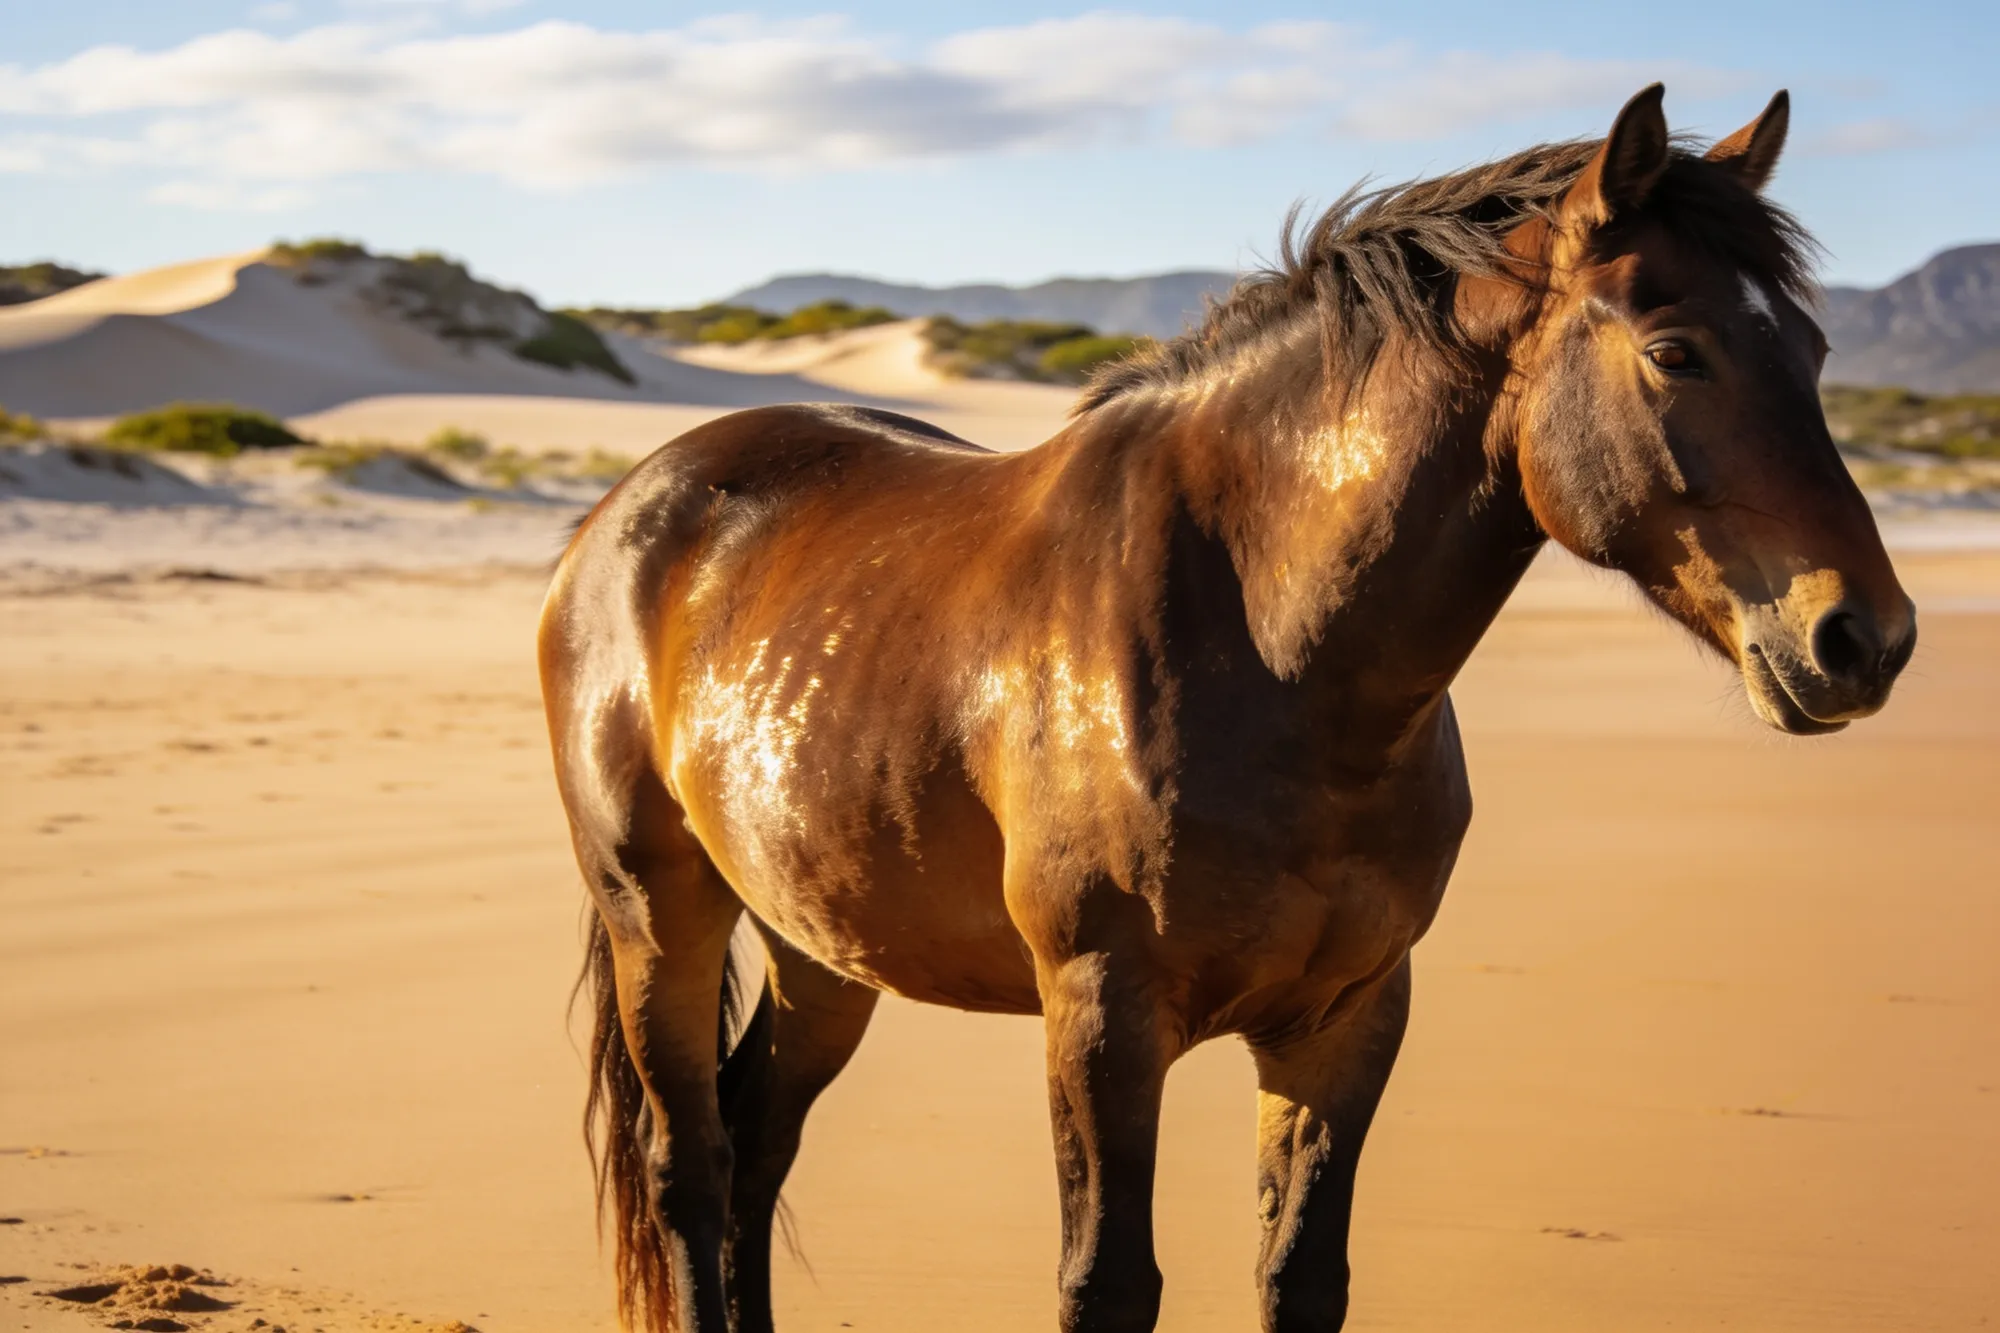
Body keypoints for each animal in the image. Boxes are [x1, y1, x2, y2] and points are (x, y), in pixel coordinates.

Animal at [539, 84, 1914, 1333]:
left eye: (1812, 353)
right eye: (1675, 351)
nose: (1864, 639)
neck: (1271, 655)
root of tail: (625, 512)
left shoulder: (1347, 1018)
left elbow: (1301, 1276)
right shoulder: (1101, 1015)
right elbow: (1107, 1284)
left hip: (820, 942)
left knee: (758, 1144)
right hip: (660, 914)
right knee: (692, 1166)